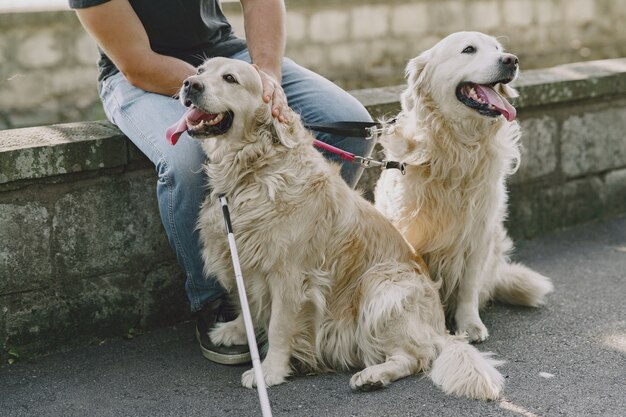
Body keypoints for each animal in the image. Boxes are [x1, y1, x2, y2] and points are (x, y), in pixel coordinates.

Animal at [168, 57, 504, 398]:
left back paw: (372, 376)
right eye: (200, 71)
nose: (189, 85)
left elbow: (278, 327)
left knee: (415, 356)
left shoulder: (290, 277)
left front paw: (270, 371)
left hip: (381, 286)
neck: (255, 169)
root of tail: (438, 328)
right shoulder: (244, 258)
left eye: (230, 78)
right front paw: (236, 330)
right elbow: (246, 302)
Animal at [372, 30, 552, 342]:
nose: (512, 60)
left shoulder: (479, 232)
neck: (458, 147)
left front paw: (469, 324)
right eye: (468, 50)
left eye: (498, 48)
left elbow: (468, 287)